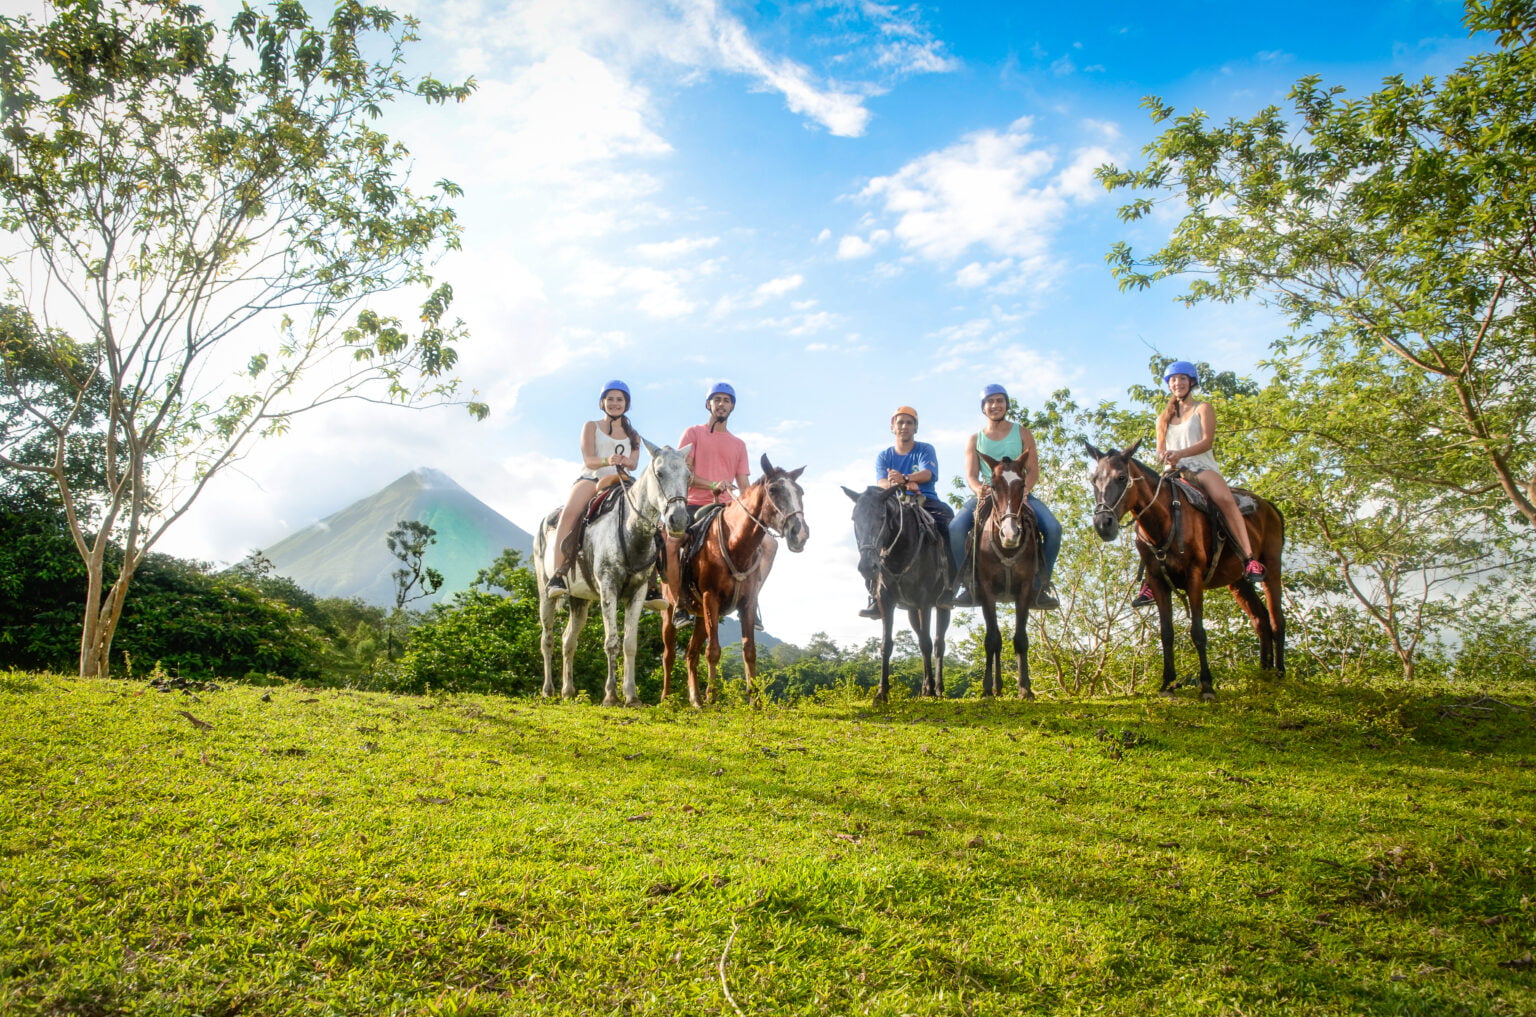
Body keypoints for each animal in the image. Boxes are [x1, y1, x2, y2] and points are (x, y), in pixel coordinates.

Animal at [660, 454, 811, 709]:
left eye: (799, 491)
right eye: (773, 489)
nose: (799, 533)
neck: (736, 544)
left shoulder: (747, 602)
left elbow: (749, 650)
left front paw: (755, 699)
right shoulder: (711, 598)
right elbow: (713, 651)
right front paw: (713, 696)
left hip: (701, 616)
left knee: (690, 654)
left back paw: (696, 700)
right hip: (669, 610)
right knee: (669, 655)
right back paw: (667, 698)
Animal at [841, 485, 946, 700]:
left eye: (882, 517)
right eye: (854, 518)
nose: (867, 567)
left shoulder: (924, 602)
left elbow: (926, 643)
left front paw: (932, 690)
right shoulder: (886, 600)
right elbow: (886, 645)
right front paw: (882, 692)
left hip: (942, 606)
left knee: (939, 644)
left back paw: (937, 688)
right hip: (912, 610)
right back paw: (926, 686)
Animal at [970, 454, 1044, 700]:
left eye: (1021, 485)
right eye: (993, 486)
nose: (1010, 534)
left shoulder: (1025, 589)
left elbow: (1020, 638)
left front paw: (1025, 688)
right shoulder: (986, 590)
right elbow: (992, 639)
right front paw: (986, 689)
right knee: (997, 639)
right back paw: (995, 686)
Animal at [1087, 439, 1290, 700]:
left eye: (1122, 477)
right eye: (1094, 479)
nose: (1103, 524)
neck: (1165, 520)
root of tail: (1269, 506)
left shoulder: (1194, 578)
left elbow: (1198, 632)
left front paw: (1207, 685)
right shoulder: (1157, 580)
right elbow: (1166, 633)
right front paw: (1167, 683)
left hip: (1272, 568)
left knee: (1276, 620)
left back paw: (1279, 673)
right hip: (1238, 581)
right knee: (1260, 619)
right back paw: (1263, 674)